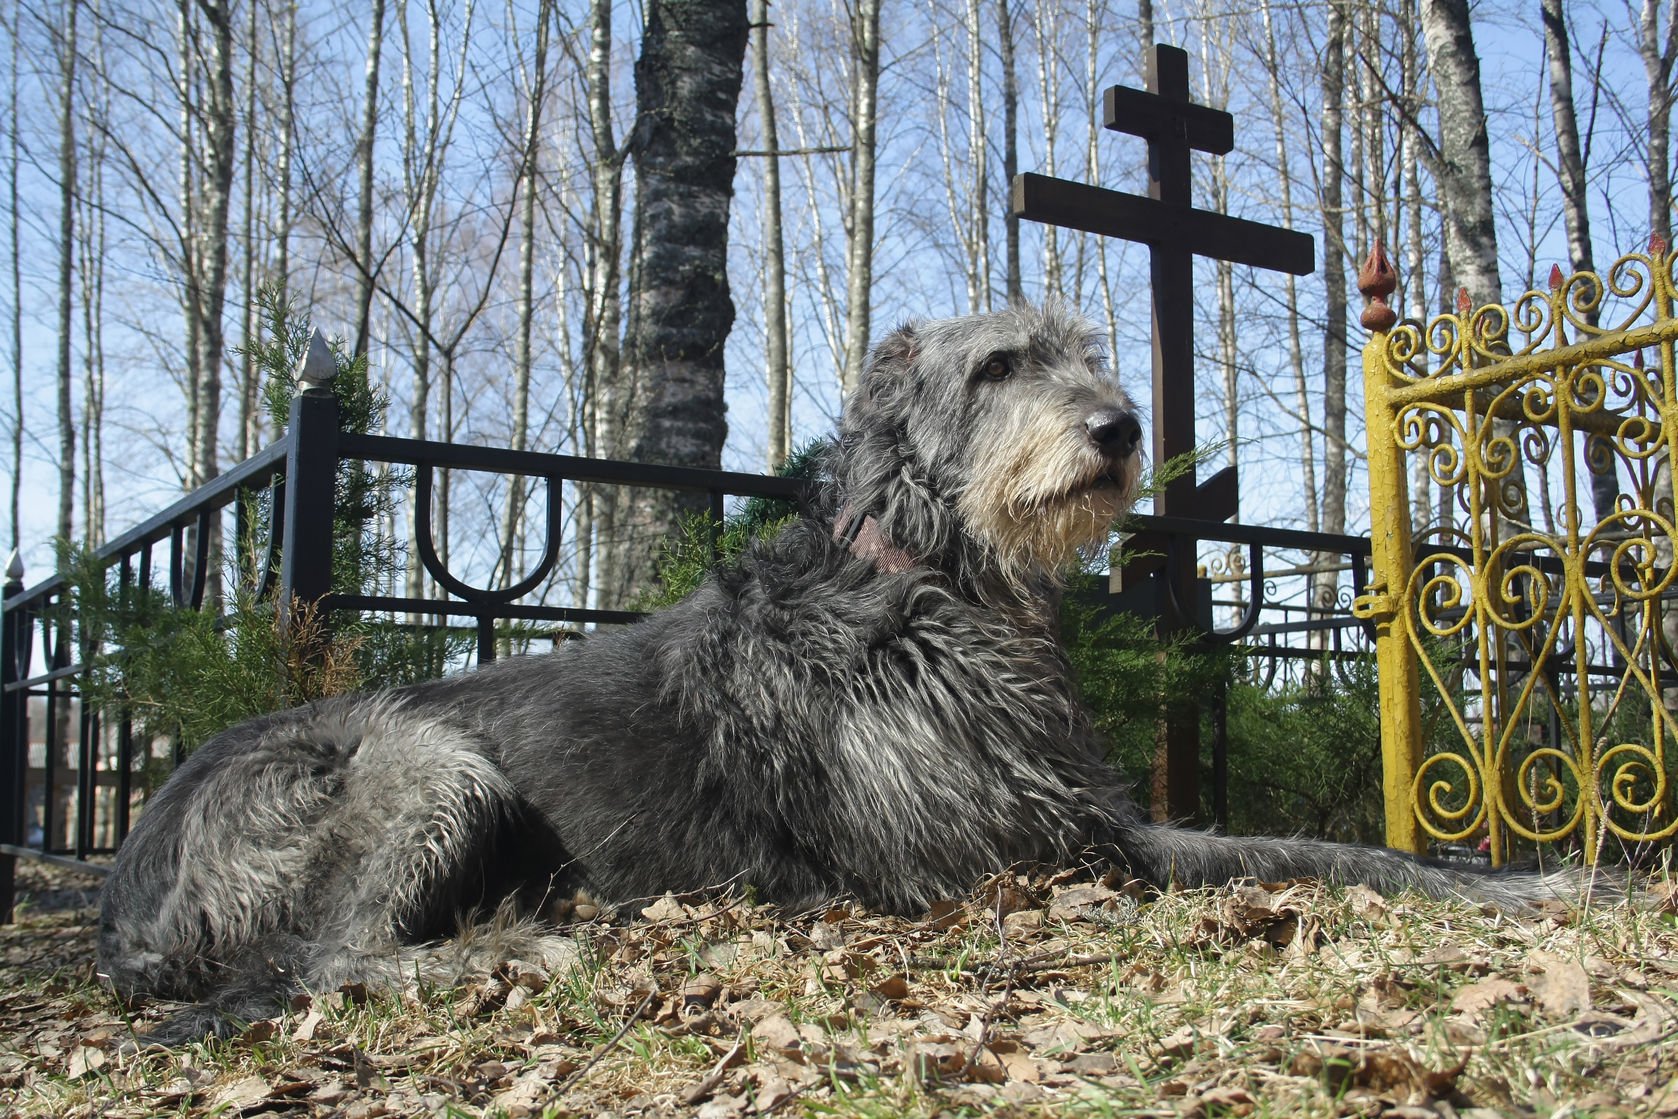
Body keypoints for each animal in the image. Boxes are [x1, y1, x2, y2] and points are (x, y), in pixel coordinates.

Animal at [101, 303, 1570, 1040]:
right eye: (998, 364)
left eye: (1090, 357)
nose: (1118, 426)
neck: (924, 579)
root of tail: (132, 890)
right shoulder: (1022, 859)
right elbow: (1300, 854)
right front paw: (1542, 883)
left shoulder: (1079, 815)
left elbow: (1334, 848)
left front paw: (1512, 870)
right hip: (422, 759)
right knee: (323, 959)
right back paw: (518, 945)